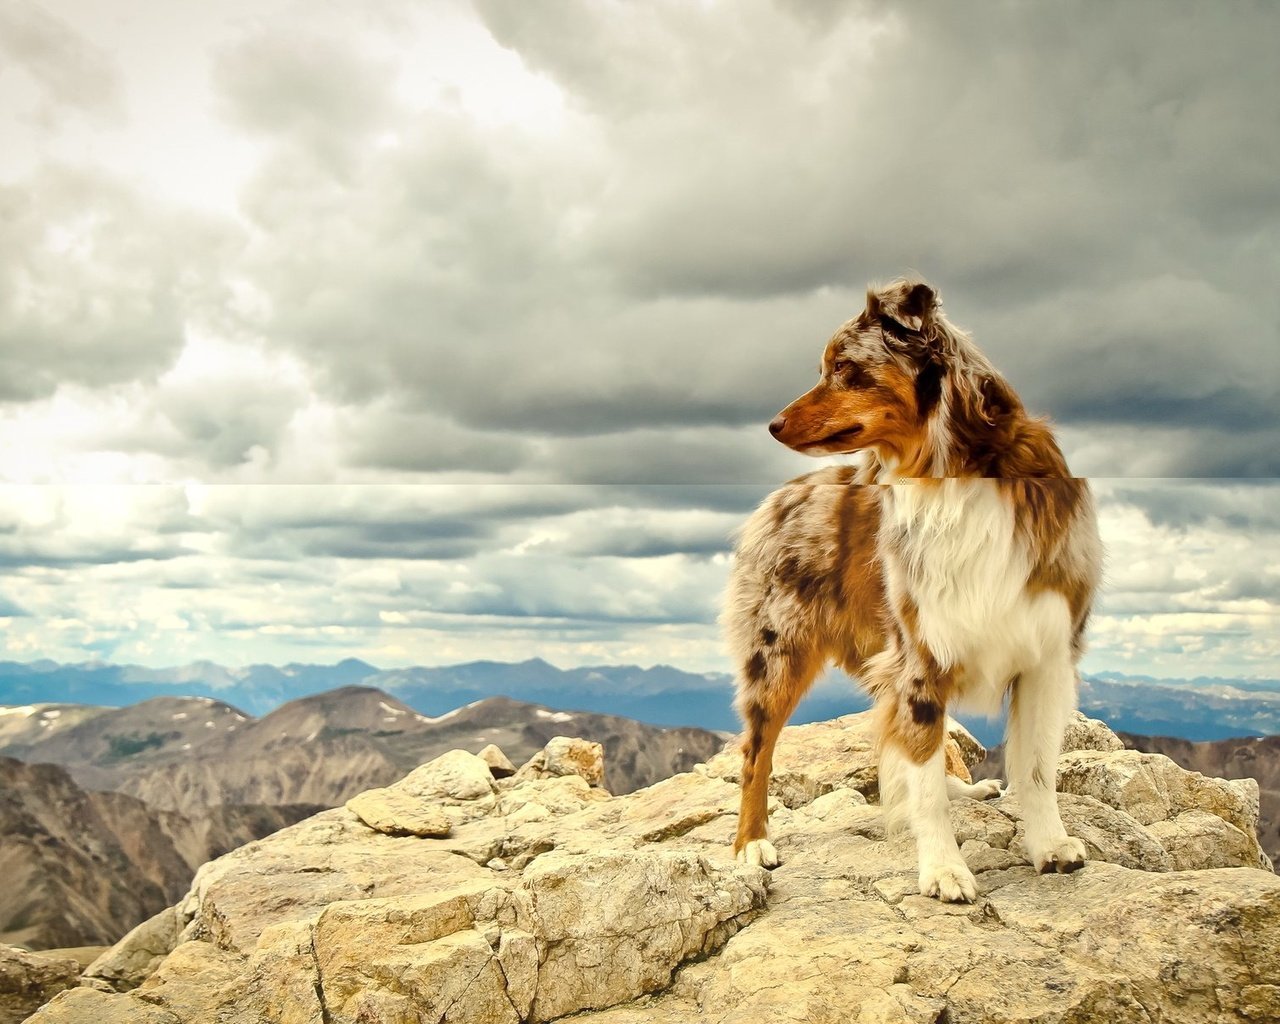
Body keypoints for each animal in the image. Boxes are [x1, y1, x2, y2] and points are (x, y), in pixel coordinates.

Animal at [727, 276, 1105, 901]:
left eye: (844, 367)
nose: (773, 425)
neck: (952, 473)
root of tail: (782, 494)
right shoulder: (919, 656)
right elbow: (923, 779)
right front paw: (944, 870)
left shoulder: (1046, 653)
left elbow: (1035, 767)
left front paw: (1049, 845)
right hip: (778, 653)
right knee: (757, 753)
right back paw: (751, 844)